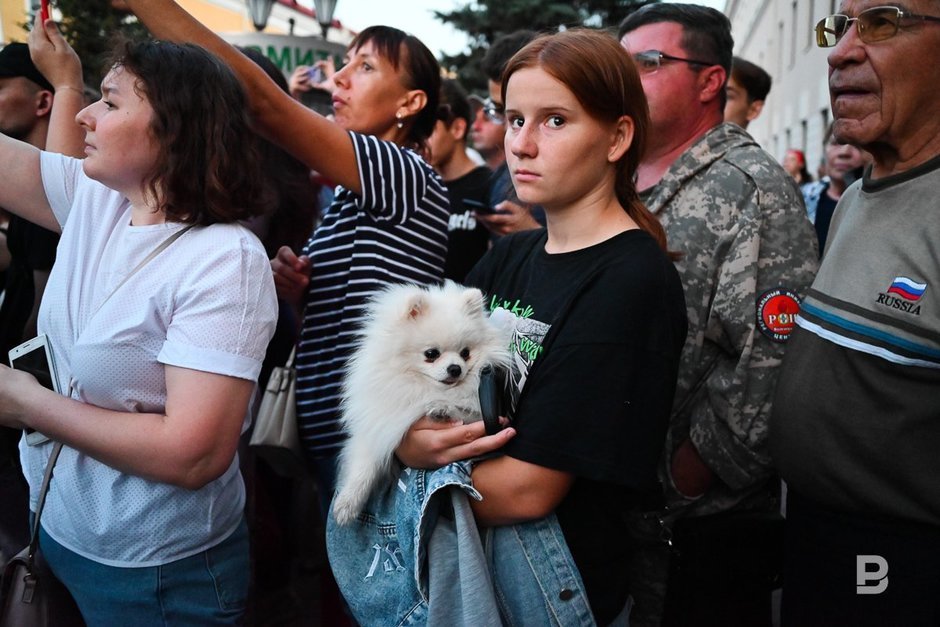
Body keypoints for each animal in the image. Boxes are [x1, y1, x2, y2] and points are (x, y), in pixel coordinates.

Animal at [332, 280, 510, 524]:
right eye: (431, 354)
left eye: (465, 353)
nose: (455, 368)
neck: (423, 389)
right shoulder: (380, 424)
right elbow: (364, 465)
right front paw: (347, 504)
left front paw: (442, 408)